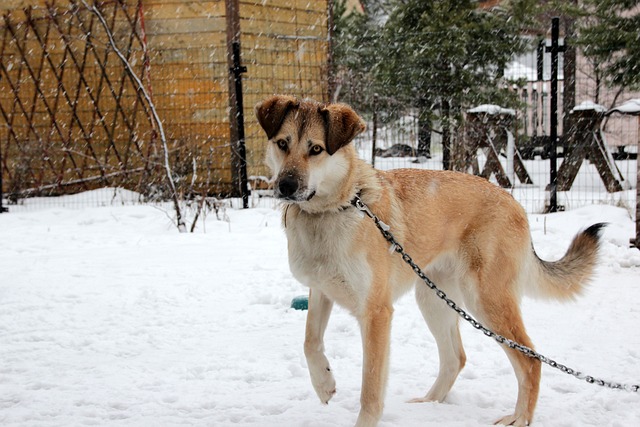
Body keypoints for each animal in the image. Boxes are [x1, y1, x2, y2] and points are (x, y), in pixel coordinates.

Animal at [255, 96, 604, 427]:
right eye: (283, 143)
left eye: (315, 149)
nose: (286, 186)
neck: (333, 209)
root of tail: (514, 202)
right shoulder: (321, 291)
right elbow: (310, 342)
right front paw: (324, 384)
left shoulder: (376, 314)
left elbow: (371, 390)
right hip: (433, 299)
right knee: (456, 358)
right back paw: (428, 404)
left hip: (485, 301)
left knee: (530, 360)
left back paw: (519, 418)